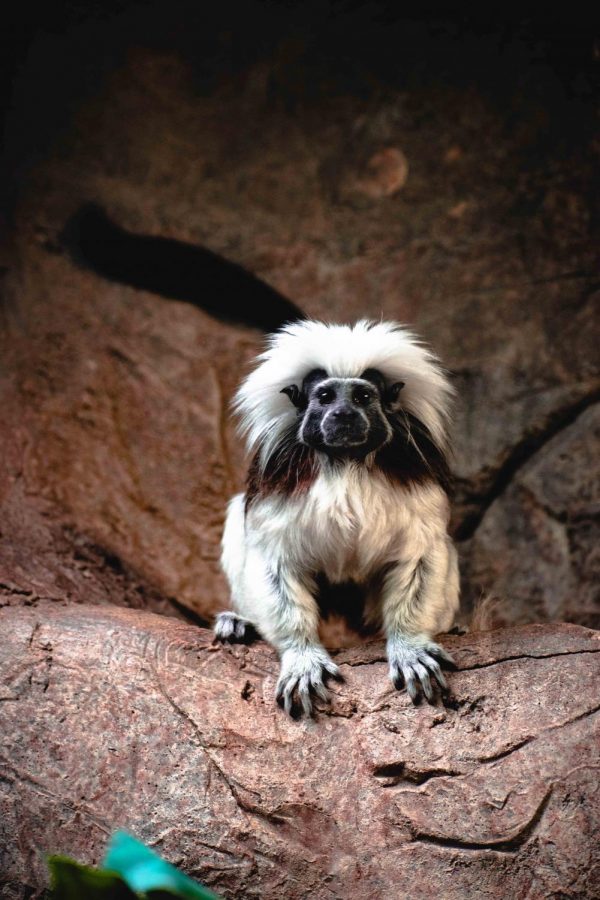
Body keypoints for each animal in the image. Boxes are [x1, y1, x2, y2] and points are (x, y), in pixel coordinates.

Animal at [216, 320, 460, 712]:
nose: (343, 415)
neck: (346, 463)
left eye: (361, 397)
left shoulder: (417, 483)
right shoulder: (277, 489)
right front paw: (301, 656)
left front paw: (409, 646)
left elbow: (419, 556)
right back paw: (239, 623)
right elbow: (274, 563)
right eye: (326, 397)